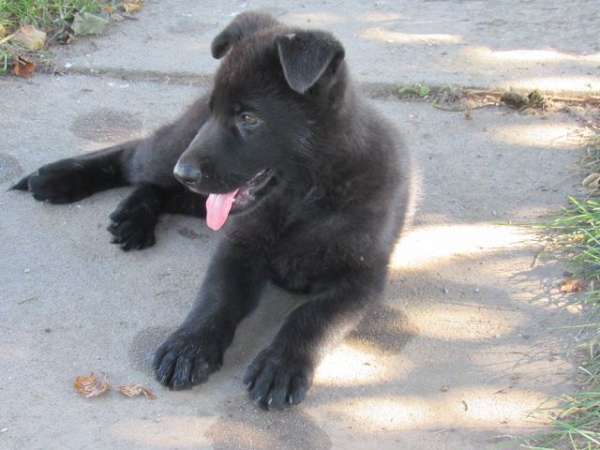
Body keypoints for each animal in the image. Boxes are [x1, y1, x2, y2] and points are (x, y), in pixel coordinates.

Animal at [11, 12, 410, 410]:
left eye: (249, 118)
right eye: (213, 112)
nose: (184, 173)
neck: (299, 201)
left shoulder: (360, 280)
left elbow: (310, 317)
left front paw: (280, 364)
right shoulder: (238, 247)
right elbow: (217, 298)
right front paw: (189, 346)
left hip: (197, 195)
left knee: (158, 189)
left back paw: (133, 218)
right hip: (175, 150)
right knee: (132, 157)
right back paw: (57, 179)